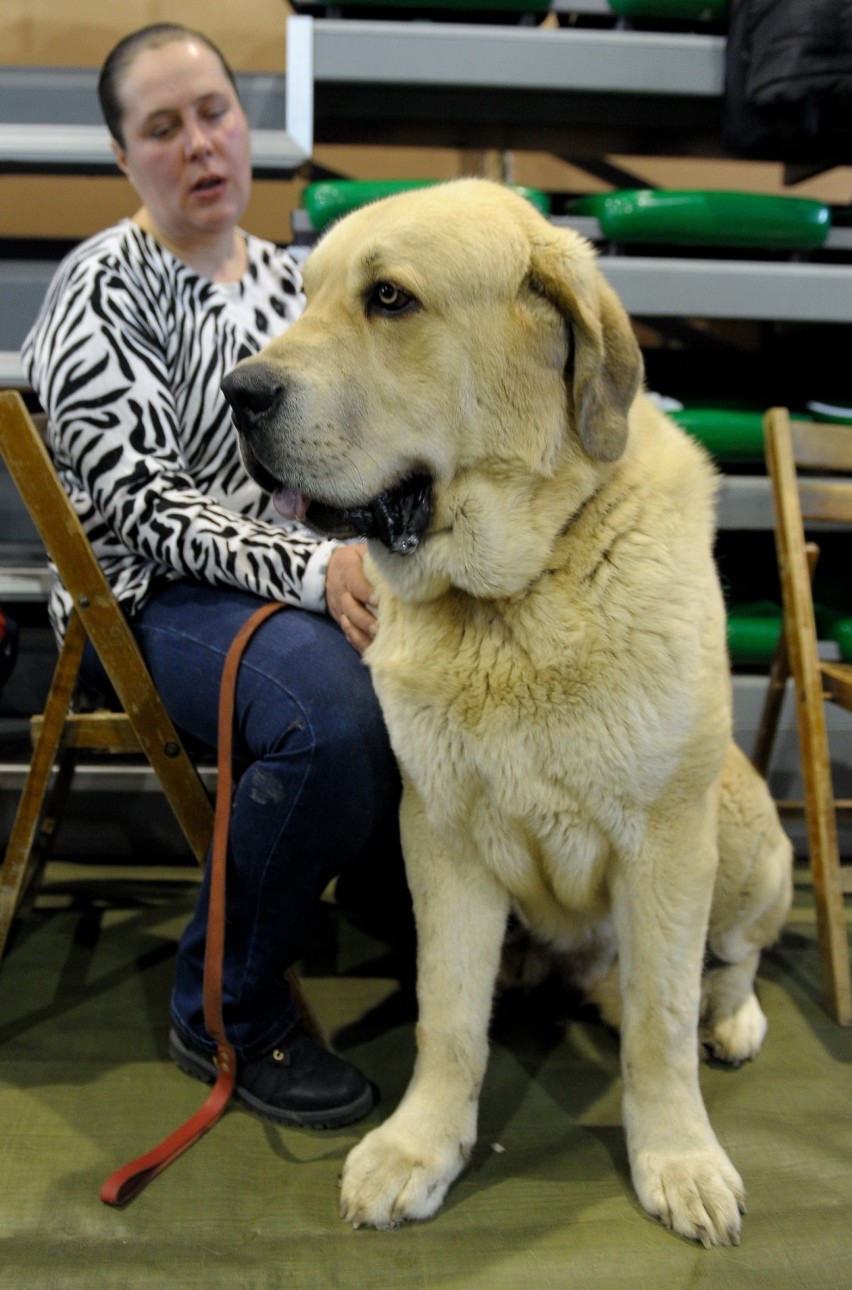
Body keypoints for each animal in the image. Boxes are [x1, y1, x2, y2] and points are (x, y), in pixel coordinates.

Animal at [219, 176, 790, 1243]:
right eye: (304, 297)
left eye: (390, 299)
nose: (243, 394)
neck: (512, 597)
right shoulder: (437, 833)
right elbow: (447, 1018)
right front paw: (421, 1148)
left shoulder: (666, 839)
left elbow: (660, 1028)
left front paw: (679, 1159)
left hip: (744, 836)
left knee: (727, 961)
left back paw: (728, 1015)